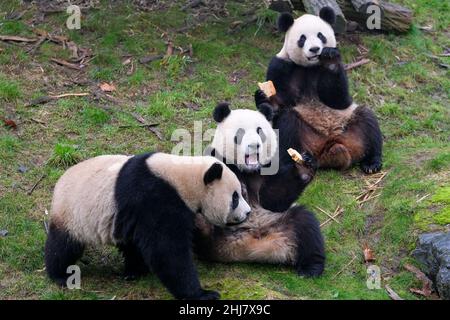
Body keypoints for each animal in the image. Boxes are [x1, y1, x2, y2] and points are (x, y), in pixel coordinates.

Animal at [44, 152, 250, 300]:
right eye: (235, 197)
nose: (248, 213)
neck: (183, 178)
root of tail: (58, 184)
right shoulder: (155, 198)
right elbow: (168, 251)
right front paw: (203, 294)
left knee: (130, 243)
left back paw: (134, 271)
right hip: (71, 214)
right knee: (63, 246)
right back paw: (60, 275)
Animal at [195, 103, 326, 278]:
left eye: (260, 131)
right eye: (240, 133)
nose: (254, 145)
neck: (248, 170)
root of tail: (247, 247)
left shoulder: (268, 169)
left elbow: (273, 199)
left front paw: (303, 167)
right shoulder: (216, 161)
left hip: (278, 221)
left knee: (305, 224)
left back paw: (310, 269)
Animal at [256, 6, 384, 174]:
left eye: (320, 35)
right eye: (302, 39)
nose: (315, 49)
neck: (311, 67)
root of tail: (331, 146)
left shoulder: (340, 68)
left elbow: (340, 100)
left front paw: (329, 58)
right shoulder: (281, 65)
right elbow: (280, 104)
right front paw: (263, 97)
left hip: (350, 125)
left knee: (368, 121)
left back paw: (371, 163)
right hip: (307, 136)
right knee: (287, 123)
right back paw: (304, 161)